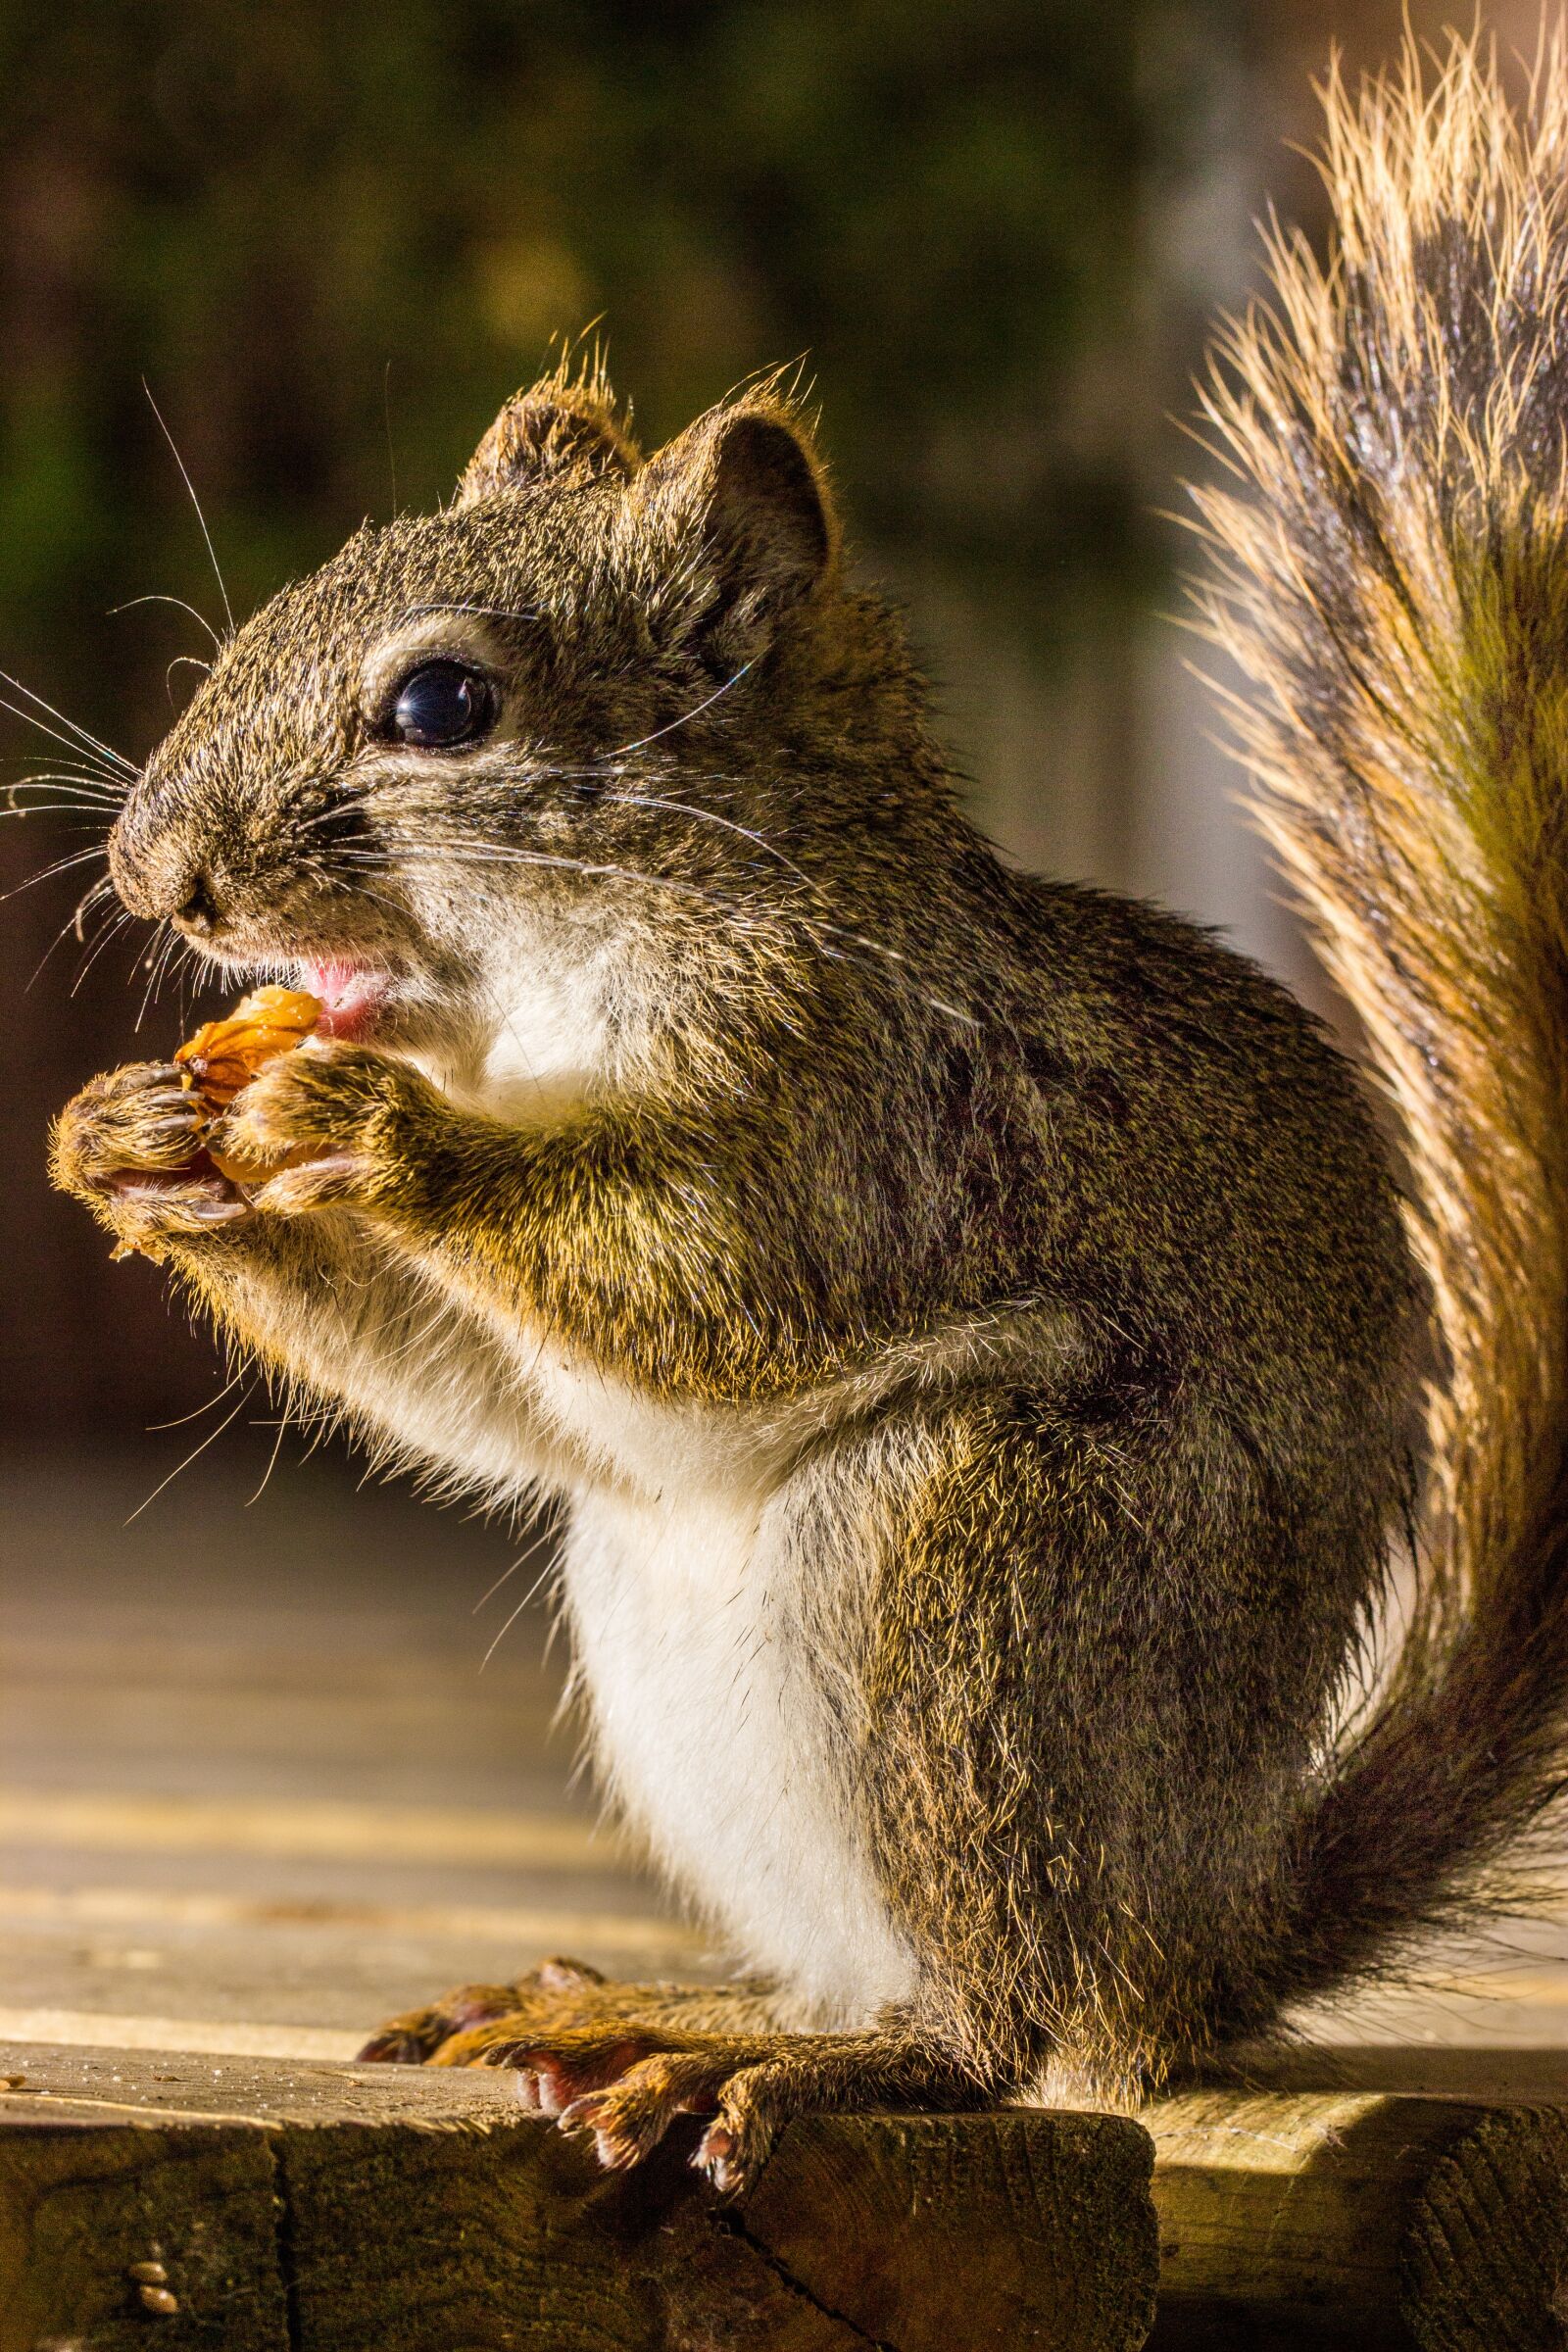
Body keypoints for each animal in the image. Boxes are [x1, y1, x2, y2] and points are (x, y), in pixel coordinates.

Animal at [48, 31, 1568, 2195]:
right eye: (282, 606)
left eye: (443, 706)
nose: (152, 878)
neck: (539, 1000)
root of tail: (1195, 1935)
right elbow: (490, 1399)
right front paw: (133, 1148)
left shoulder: (877, 1103)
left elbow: (715, 1282)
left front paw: (391, 1141)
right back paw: (651, 2005)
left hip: (994, 1587)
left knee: (998, 2019)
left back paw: (803, 2062)